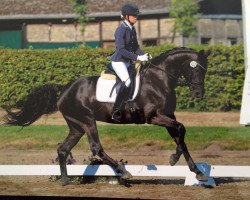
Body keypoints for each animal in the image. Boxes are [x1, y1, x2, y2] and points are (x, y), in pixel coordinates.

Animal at [3, 47, 211, 186]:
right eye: (195, 68)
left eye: (205, 69)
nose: (199, 93)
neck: (159, 80)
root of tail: (64, 89)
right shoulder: (154, 117)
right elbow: (181, 128)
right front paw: (175, 160)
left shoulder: (167, 116)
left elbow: (180, 137)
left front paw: (194, 170)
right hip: (87, 121)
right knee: (96, 148)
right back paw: (123, 173)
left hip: (76, 126)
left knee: (63, 149)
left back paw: (65, 181)